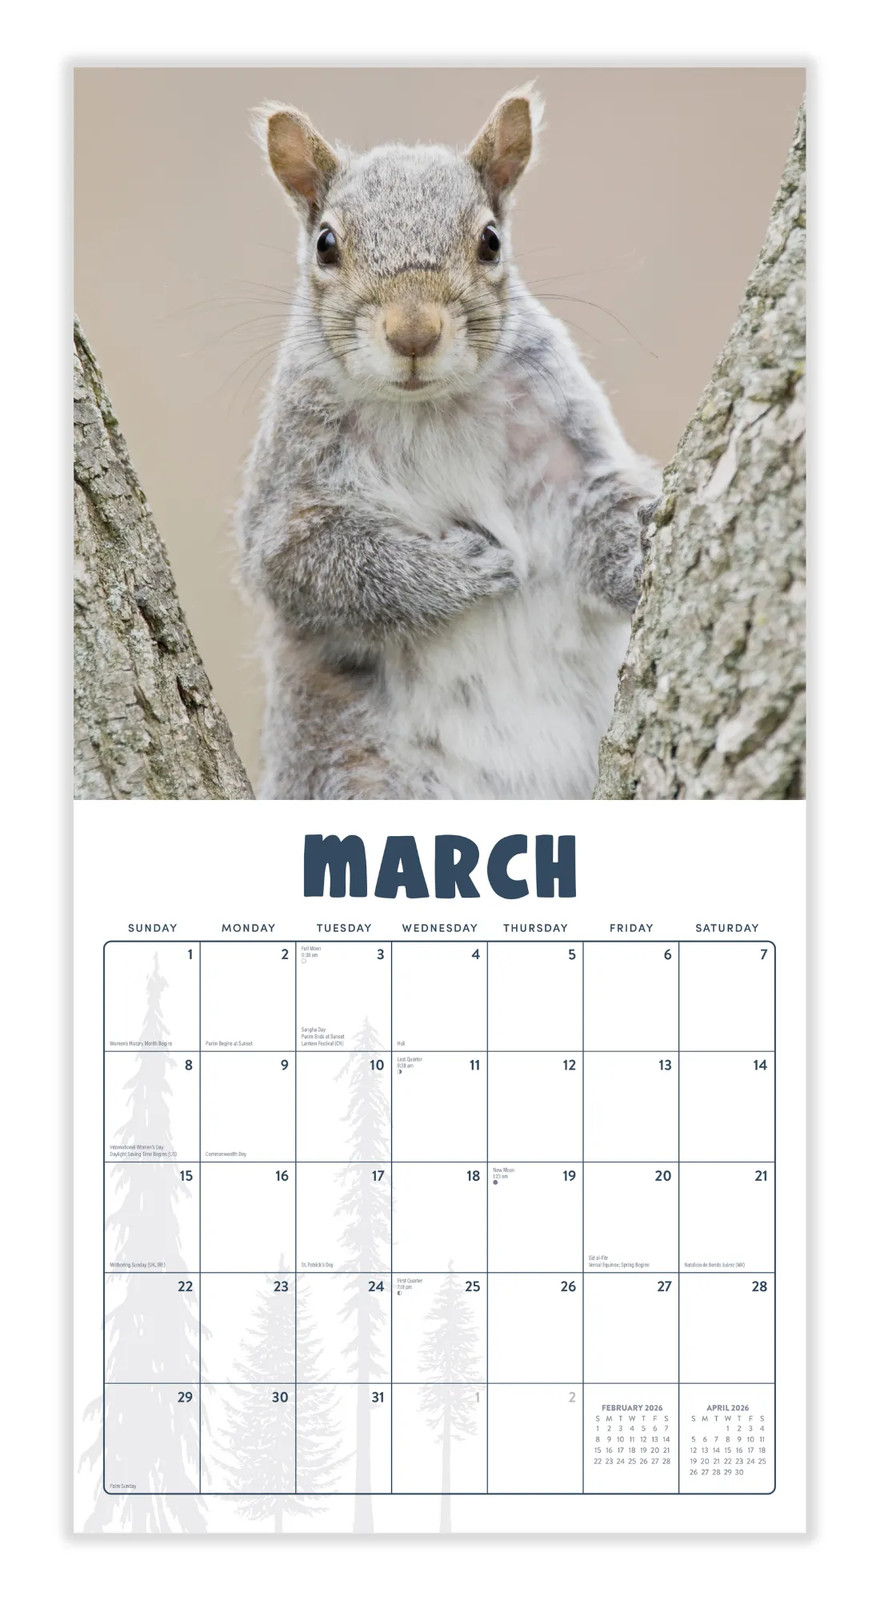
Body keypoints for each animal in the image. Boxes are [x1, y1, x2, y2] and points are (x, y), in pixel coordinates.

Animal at [237, 86, 660, 799]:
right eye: (325, 244)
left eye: (491, 241)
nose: (413, 332)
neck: (429, 408)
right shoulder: (290, 497)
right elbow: (323, 566)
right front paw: (470, 568)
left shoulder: (569, 454)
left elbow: (605, 509)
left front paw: (639, 557)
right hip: (349, 771)